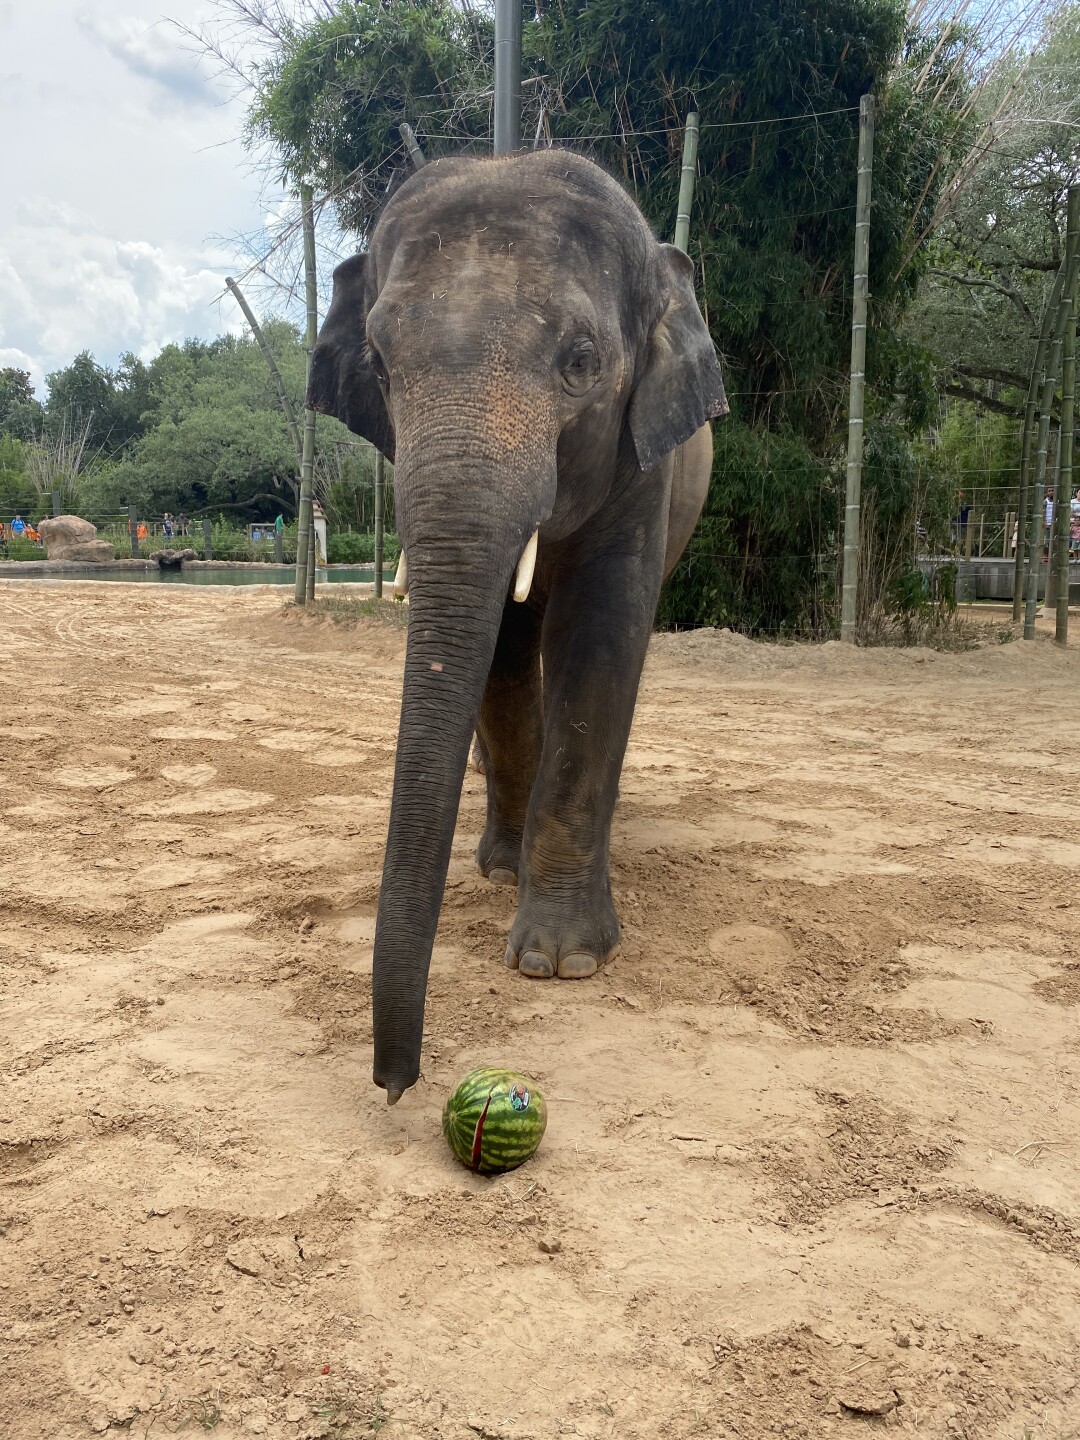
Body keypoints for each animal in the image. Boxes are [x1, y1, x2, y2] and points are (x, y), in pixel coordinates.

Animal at [308, 150, 727, 1104]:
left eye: (582, 360)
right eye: (379, 362)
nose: (396, 1083)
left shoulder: (642, 463)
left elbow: (601, 634)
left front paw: (561, 965)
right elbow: (499, 639)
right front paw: (505, 875)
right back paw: (502, 854)